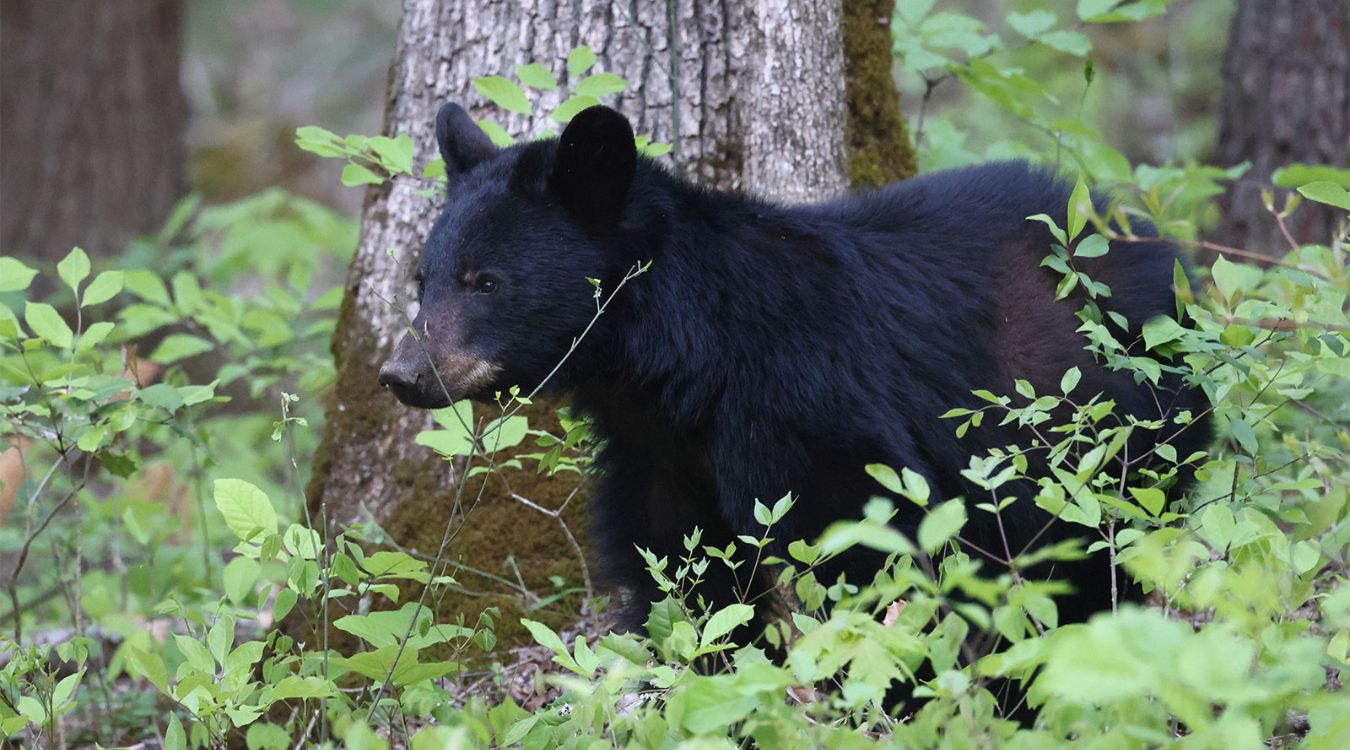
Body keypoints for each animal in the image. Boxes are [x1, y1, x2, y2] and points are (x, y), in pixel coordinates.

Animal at [378, 102, 1209, 663]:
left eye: (486, 281)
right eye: (422, 278)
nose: (401, 373)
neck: (679, 368)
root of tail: (1141, 233)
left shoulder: (808, 408)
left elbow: (862, 555)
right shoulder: (657, 458)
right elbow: (684, 584)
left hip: (1114, 418)